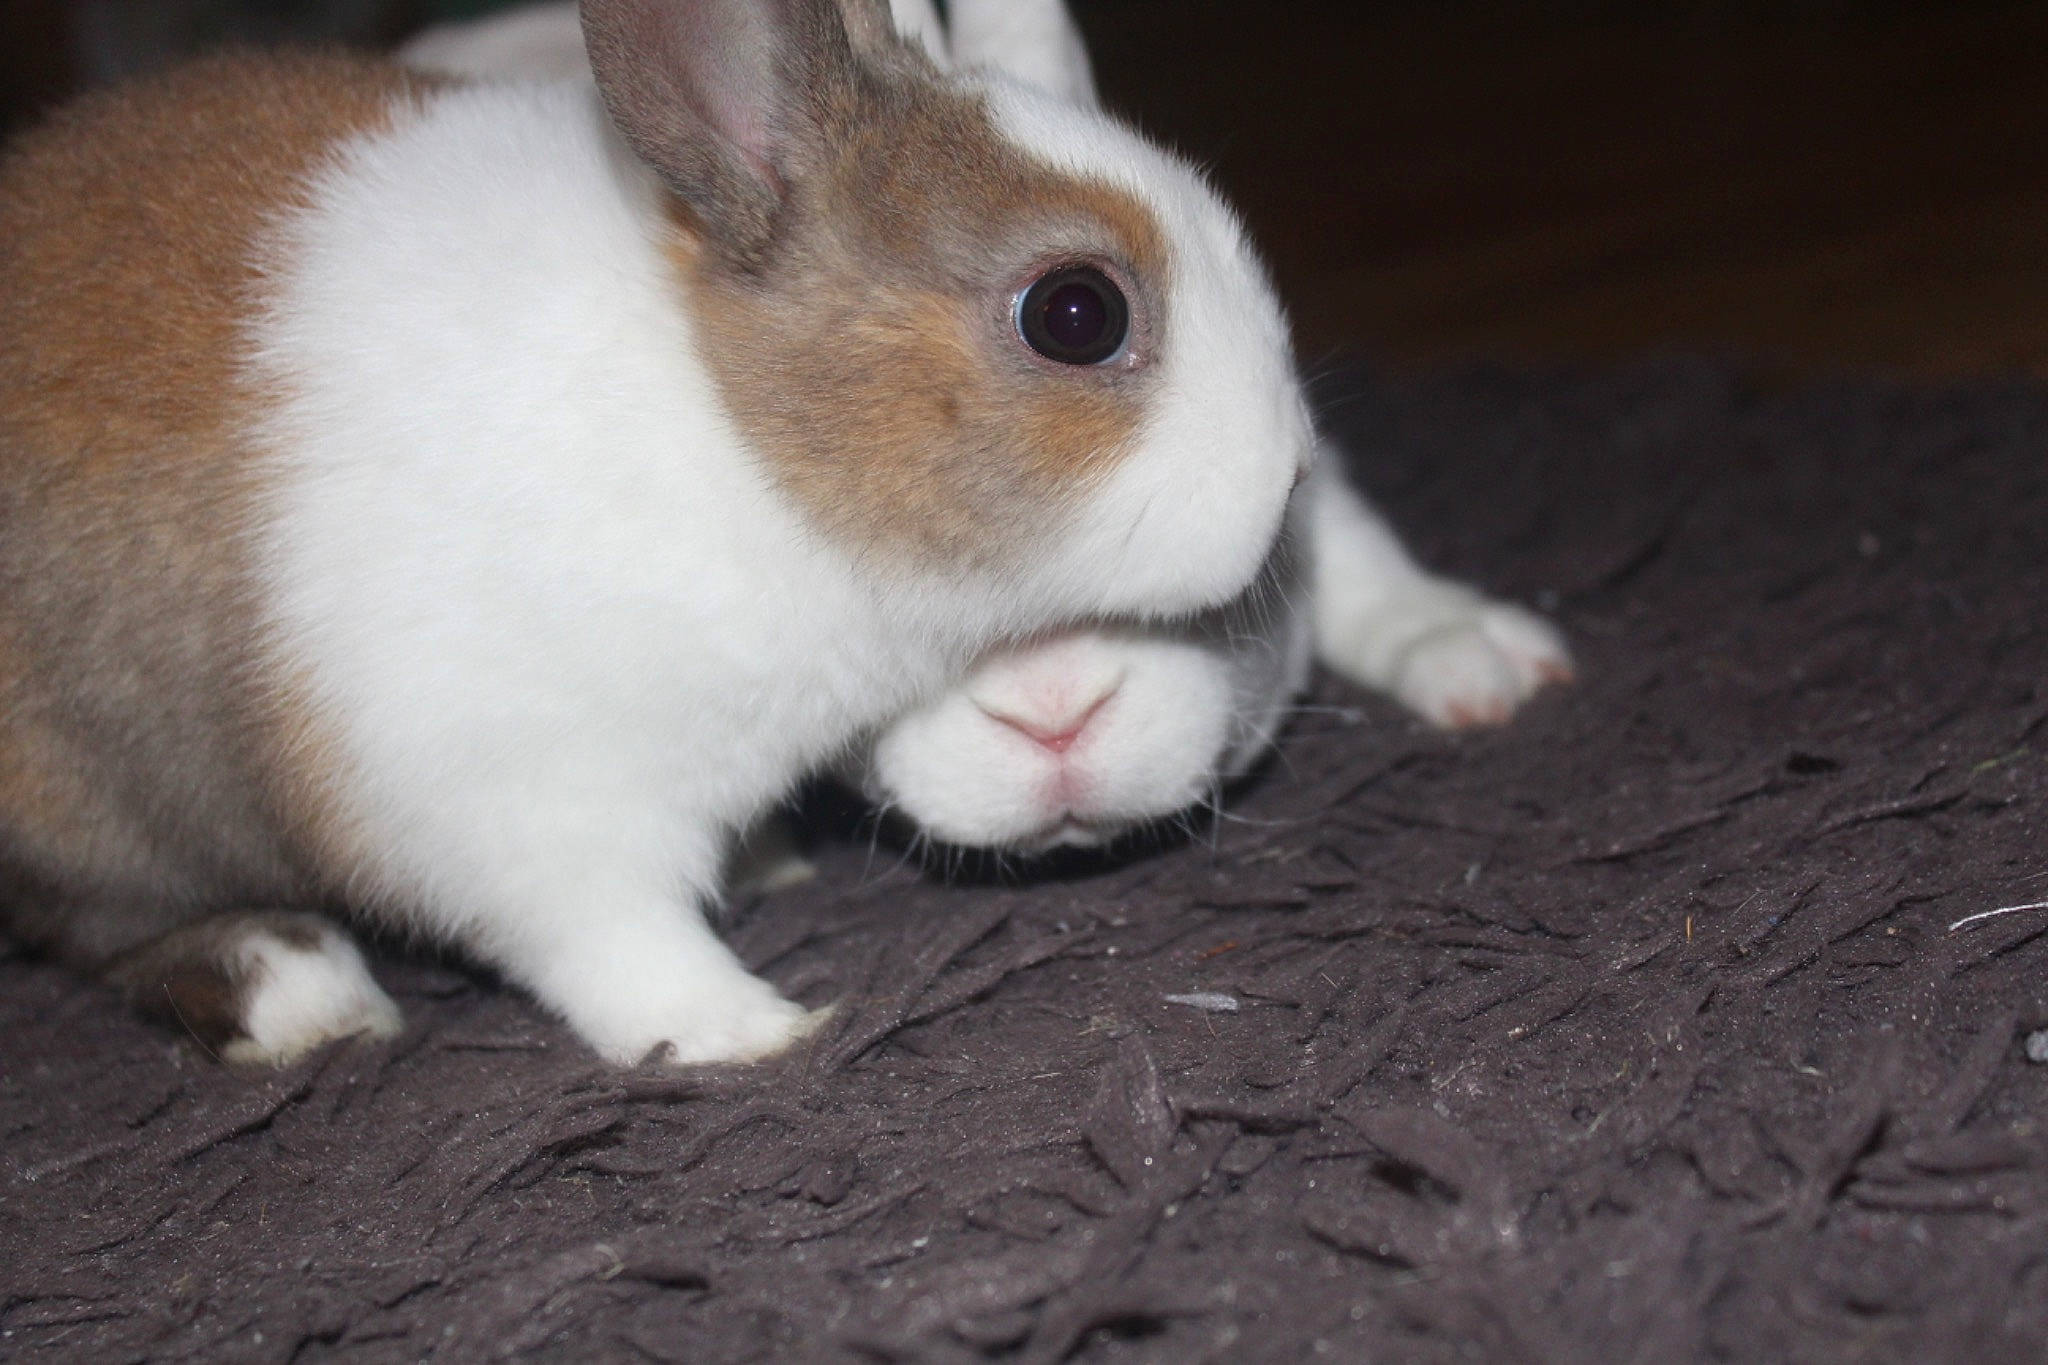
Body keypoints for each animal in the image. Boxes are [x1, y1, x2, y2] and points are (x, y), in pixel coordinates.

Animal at [0, 0, 1313, 1067]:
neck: (743, 446)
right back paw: (299, 993)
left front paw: (767, 864)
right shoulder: (523, 802)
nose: (1289, 464)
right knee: (104, 929)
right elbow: (614, 943)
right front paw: (754, 1032)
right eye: (1075, 314)